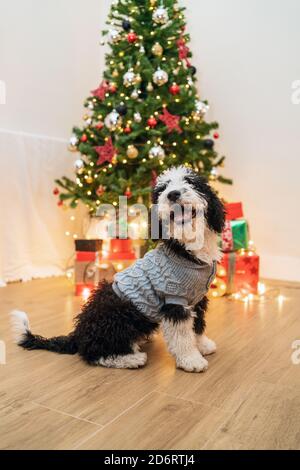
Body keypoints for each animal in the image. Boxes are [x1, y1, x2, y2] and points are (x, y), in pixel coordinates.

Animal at [10, 167, 224, 372]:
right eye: (162, 189)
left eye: (190, 182)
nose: (172, 194)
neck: (186, 250)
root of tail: (78, 333)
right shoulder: (174, 301)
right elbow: (182, 336)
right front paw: (191, 360)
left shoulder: (196, 299)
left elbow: (197, 326)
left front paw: (203, 346)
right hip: (117, 312)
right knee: (94, 352)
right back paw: (131, 358)